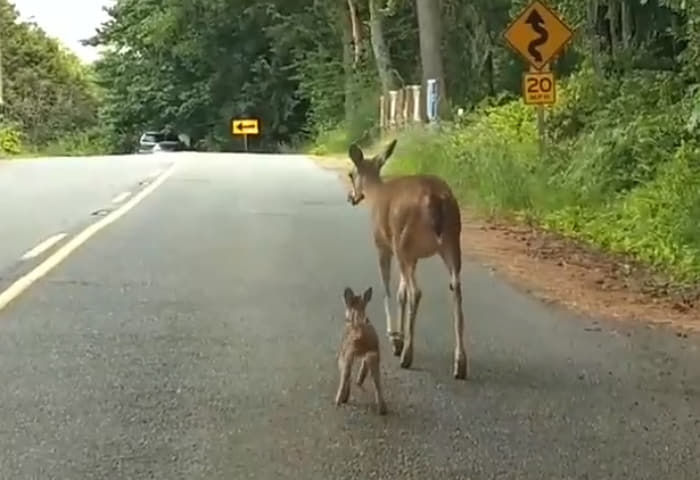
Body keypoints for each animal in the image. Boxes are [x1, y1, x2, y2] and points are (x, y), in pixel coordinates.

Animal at [342, 138, 468, 378]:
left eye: (351, 174)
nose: (350, 197)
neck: (376, 193)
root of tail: (435, 199)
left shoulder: (383, 245)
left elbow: (388, 290)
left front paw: (395, 338)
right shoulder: (413, 257)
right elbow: (400, 293)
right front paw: (398, 338)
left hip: (404, 243)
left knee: (416, 292)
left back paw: (408, 355)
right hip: (451, 241)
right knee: (455, 288)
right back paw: (460, 363)